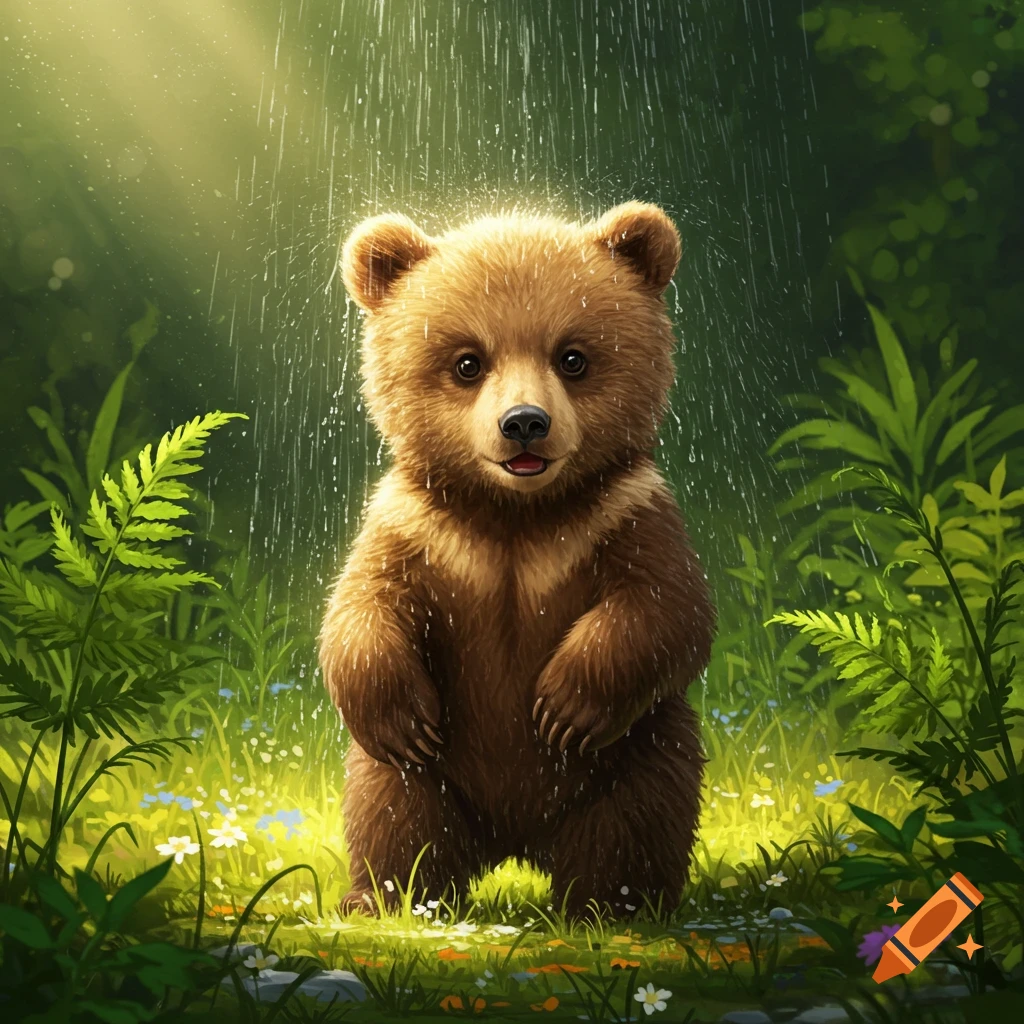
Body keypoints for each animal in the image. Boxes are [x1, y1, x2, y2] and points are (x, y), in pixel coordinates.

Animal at [320, 201, 716, 919]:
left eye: (573, 357)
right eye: (467, 362)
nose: (525, 422)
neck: (515, 516)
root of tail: (515, 845)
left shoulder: (625, 514)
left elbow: (667, 609)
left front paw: (563, 705)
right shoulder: (417, 528)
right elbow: (363, 606)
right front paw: (401, 716)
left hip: (638, 750)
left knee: (640, 814)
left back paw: (611, 905)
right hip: (432, 783)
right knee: (394, 812)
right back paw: (388, 897)